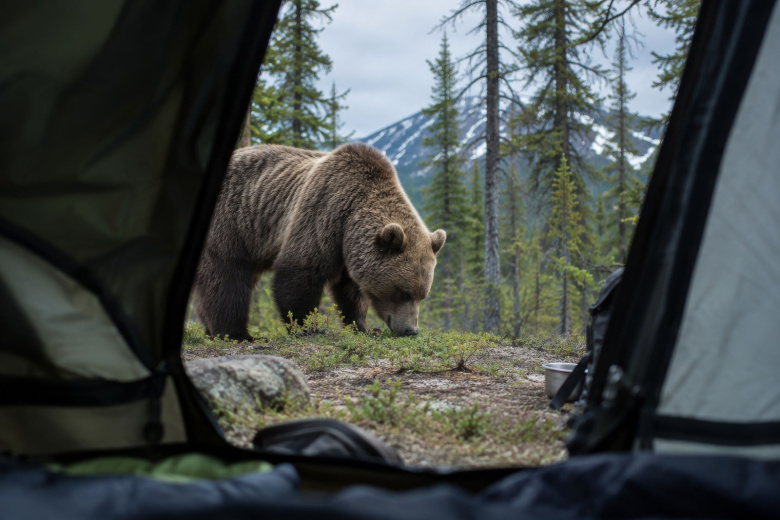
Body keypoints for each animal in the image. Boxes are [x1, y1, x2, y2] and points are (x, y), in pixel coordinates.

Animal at [193, 142, 446, 341]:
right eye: (404, 293)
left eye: (423, 295)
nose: (411, 330)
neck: (351, 218)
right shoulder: (324, 213)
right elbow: (300, 272)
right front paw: (308, 327)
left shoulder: (350, 250)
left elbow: (351, 291)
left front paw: (362, 326)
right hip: (231, 223)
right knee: (226, 275)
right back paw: (236, 333)